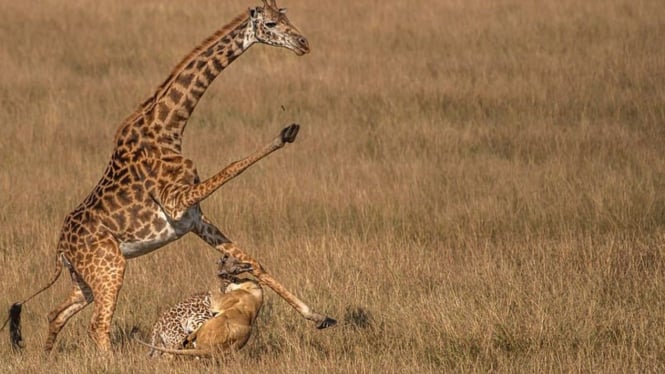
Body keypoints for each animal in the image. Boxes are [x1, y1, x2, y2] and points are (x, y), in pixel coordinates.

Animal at [3, 0, 338, 352]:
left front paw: (319, 317)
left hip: (86, 279)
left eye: (287, 16)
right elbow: (232, 166)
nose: (304, 43)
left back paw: (46, 355)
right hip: (110, 267)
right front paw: (283, 134)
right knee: (97, 325)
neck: (169, 126)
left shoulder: (195, 220)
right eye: (271, 23)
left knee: (57, 313)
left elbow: (256, 262)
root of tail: (60, 250)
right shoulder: (177, 203)